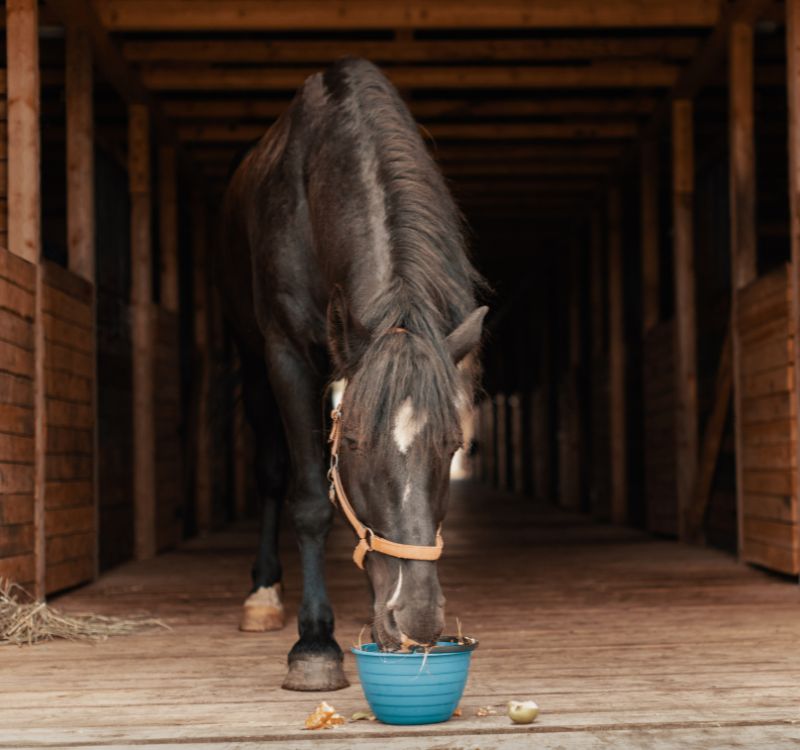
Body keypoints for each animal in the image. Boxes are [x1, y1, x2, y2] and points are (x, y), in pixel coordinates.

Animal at [216, 58, 488, 692]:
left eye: (453, 446)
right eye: (358, 444)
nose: (417, 618)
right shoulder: (287, 354)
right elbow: (311, 500)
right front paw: (314, 646)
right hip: (253, 359)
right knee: (272, 471)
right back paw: (263, 595)